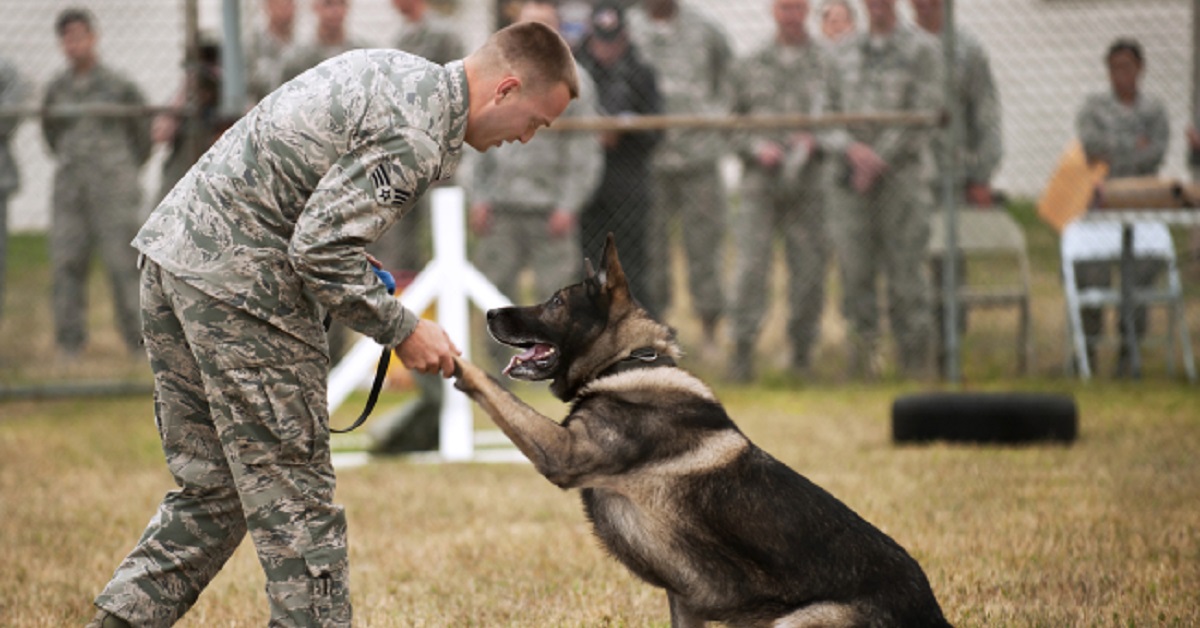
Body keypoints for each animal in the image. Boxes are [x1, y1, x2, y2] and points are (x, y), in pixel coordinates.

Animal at [451, 237, 945, 628]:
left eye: (555, 302)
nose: (491, 312)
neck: (625, 362)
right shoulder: (684, 601)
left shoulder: (564, 454)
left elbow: (493, 389)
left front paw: (454, 360)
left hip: (796, 623)